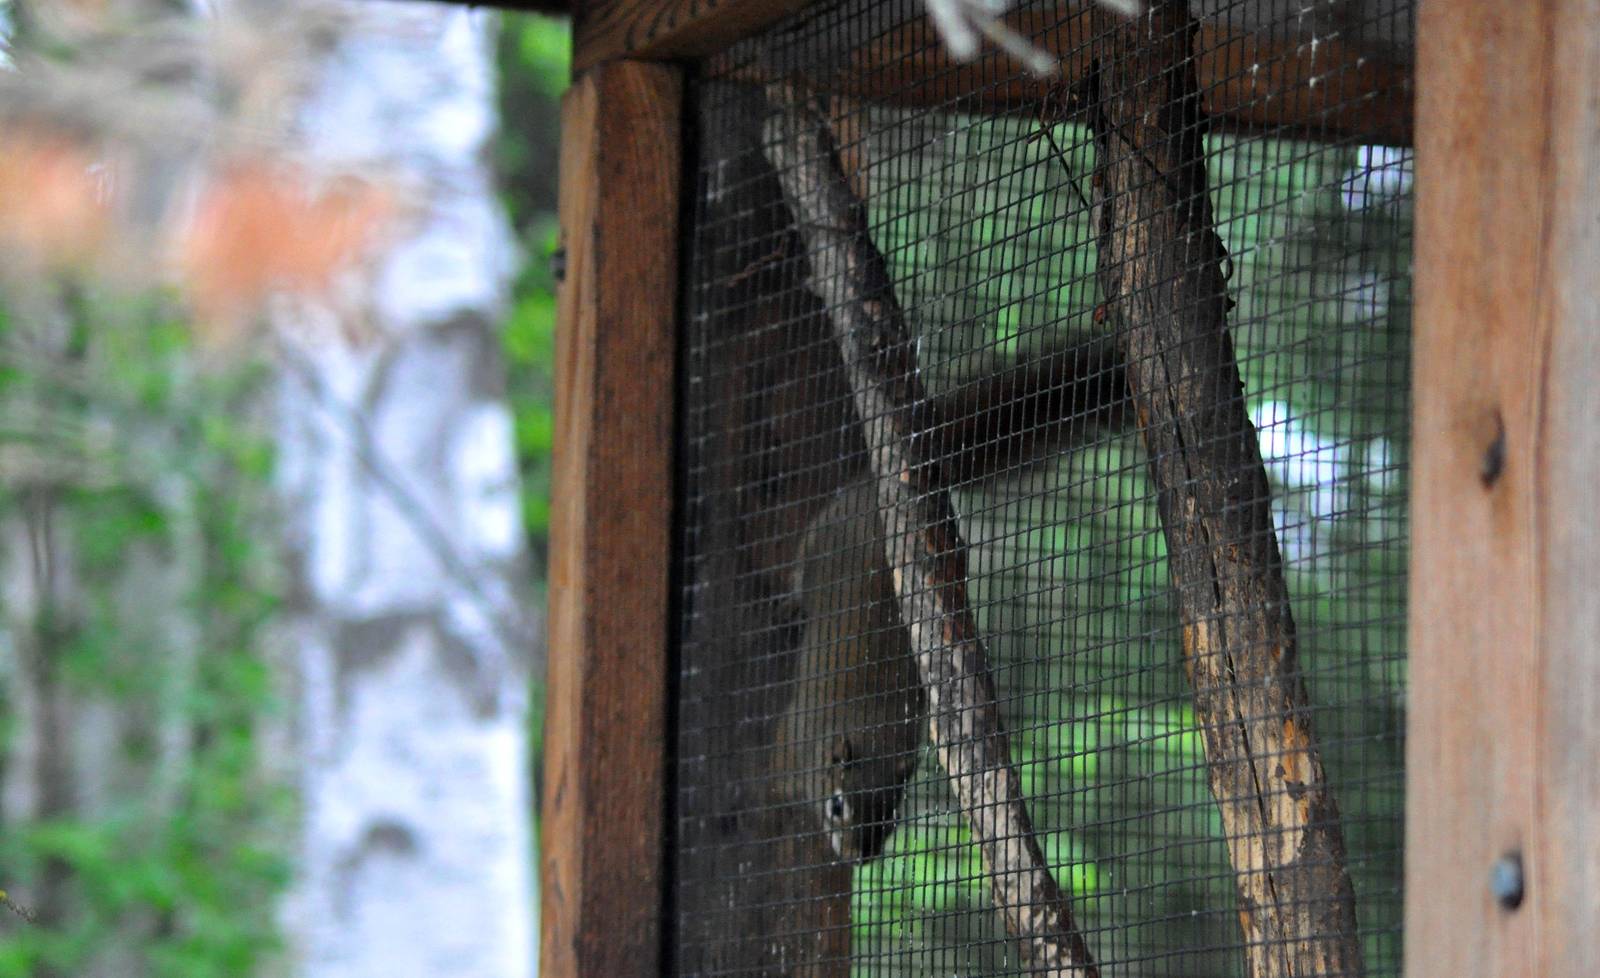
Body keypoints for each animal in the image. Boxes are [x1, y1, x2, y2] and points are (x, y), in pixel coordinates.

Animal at [772, 340, 1128, 862]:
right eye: (839, 806)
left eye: (890, 814)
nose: (861, 856)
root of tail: (877, 494)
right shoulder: (793, 740)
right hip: (820, 538)